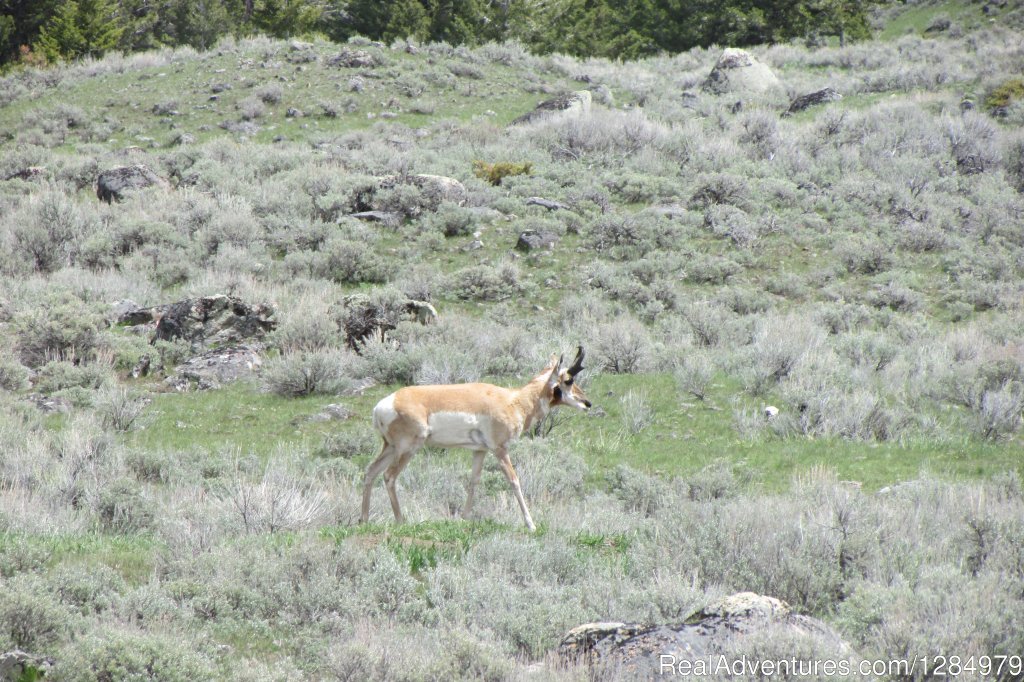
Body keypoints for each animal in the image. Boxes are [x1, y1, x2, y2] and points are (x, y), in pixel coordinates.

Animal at [362, 346, 593, 532]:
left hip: (391, 447)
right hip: (408, 448)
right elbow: (514, 481)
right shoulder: (500, 449)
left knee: (371, 471)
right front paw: (531, 524)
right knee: (389, 476)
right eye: (568, 380)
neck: (514, 400)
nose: (587, 403)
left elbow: (474, 481)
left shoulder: (479, 451)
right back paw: (401, 521)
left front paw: (464, 518)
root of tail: (383, 405)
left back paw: (363, 519)